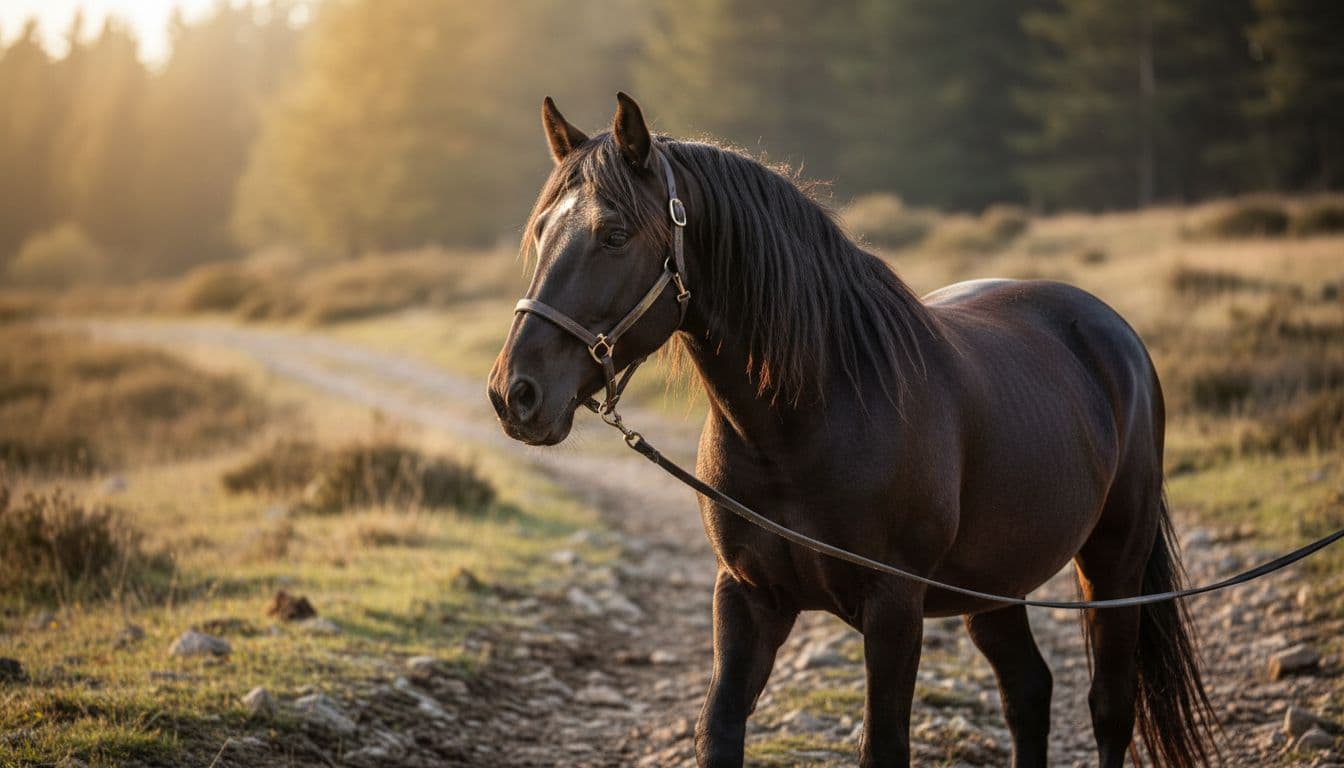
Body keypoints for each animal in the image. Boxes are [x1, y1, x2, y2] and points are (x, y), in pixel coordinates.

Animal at [488, 93, 1217, 768]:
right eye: (542, 232)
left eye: (613, 234)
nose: (513, 393)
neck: (801, 425)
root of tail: (1107, 326)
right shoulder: (747, 598)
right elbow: (717, 731)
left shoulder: (893, 609)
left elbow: (885, 745)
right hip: (995, 585)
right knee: (1028, 692)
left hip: (1114, 565)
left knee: (1109, 705)